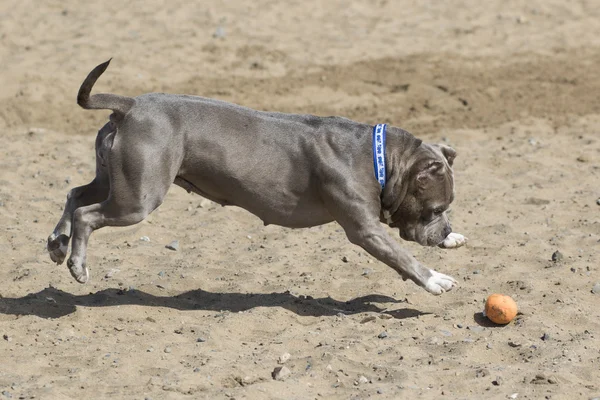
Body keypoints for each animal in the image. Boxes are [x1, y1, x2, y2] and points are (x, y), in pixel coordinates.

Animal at [48, 61, 468, 296]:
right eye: (435, 209)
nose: (444, 231)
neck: (380, 157)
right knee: (87, 214)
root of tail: (131, 105)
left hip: (114, 180)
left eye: (447, 210)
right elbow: (402, 256)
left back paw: (58, 243)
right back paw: (78, 265)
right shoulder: (364, 230)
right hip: (138, 198)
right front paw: (435, 280)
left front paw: (454, 240)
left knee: (75, 195)